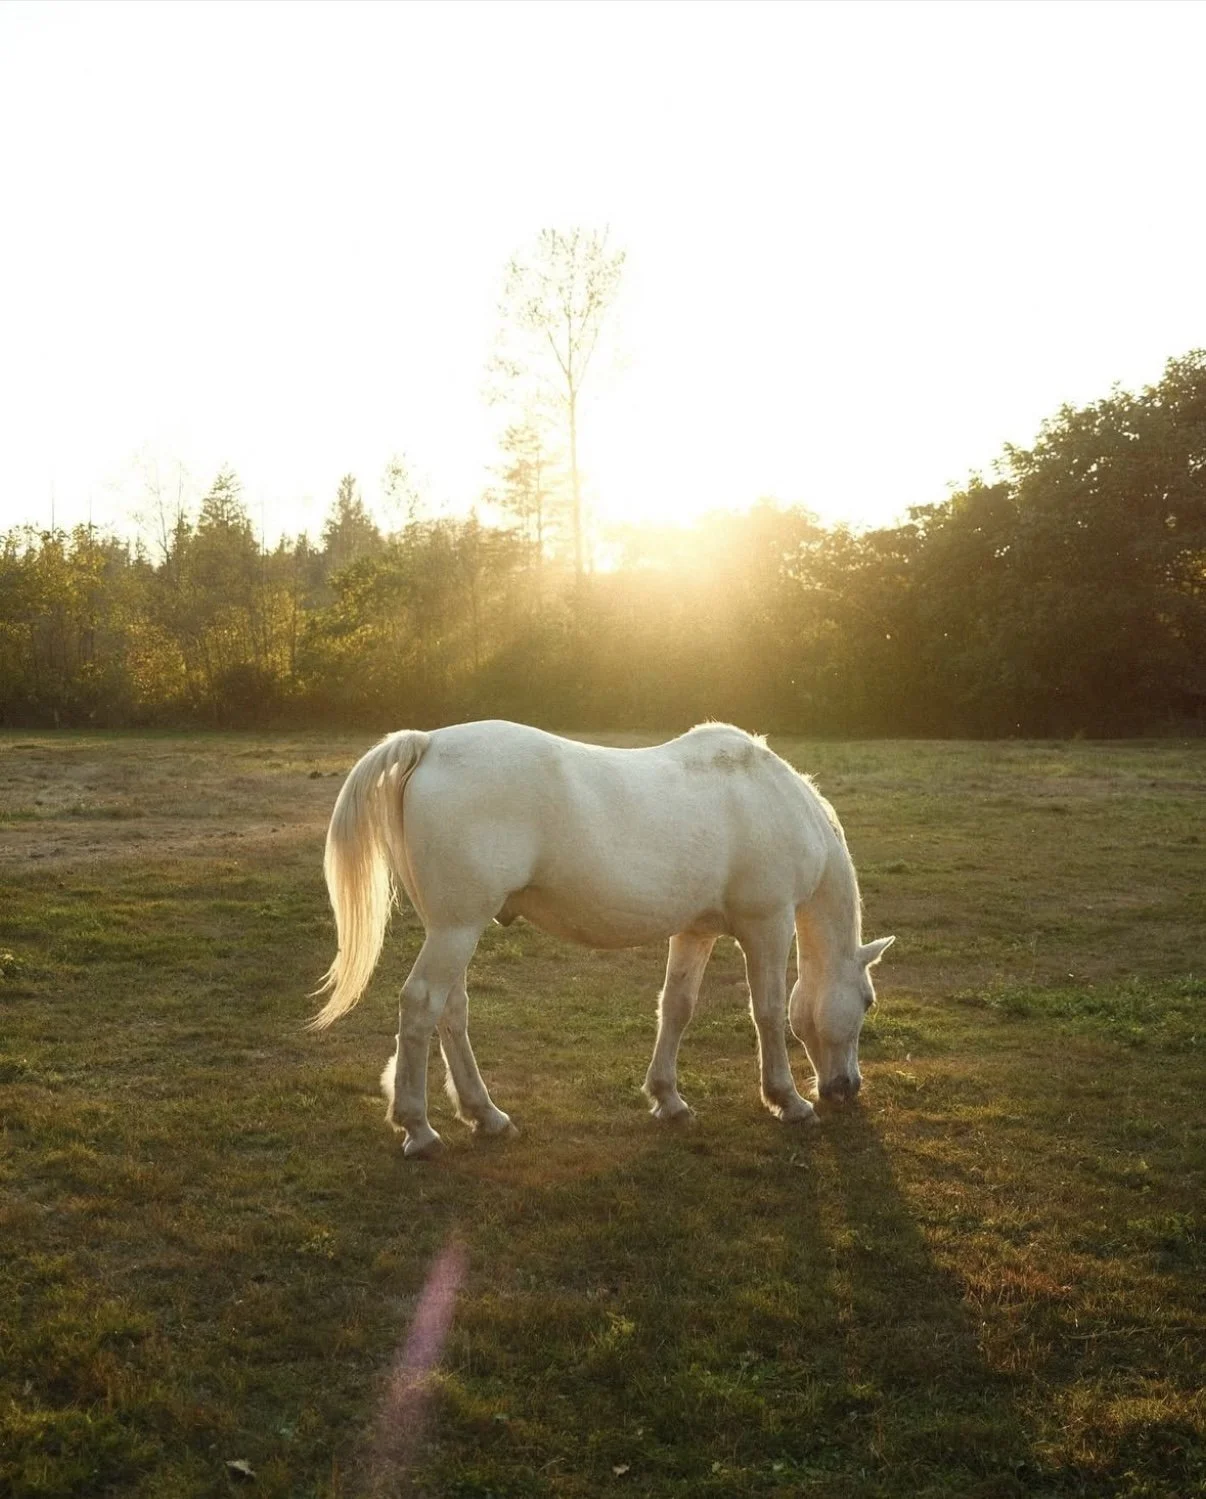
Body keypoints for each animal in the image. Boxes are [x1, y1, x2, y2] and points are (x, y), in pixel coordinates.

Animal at [312, 720, 893, 1158]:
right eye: (867, 1000)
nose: (846, 1089)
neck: (770, 797)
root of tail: (429, 743)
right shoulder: (767, 925)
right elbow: (769, 1011)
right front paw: (788, 1101)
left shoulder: (695, 931)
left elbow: (676, 1007)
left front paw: (668, 1099)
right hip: (457, 929)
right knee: (421, 1005)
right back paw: (418, 1129)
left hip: (454, 931)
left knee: (451, 1011)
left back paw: (487, 1116)